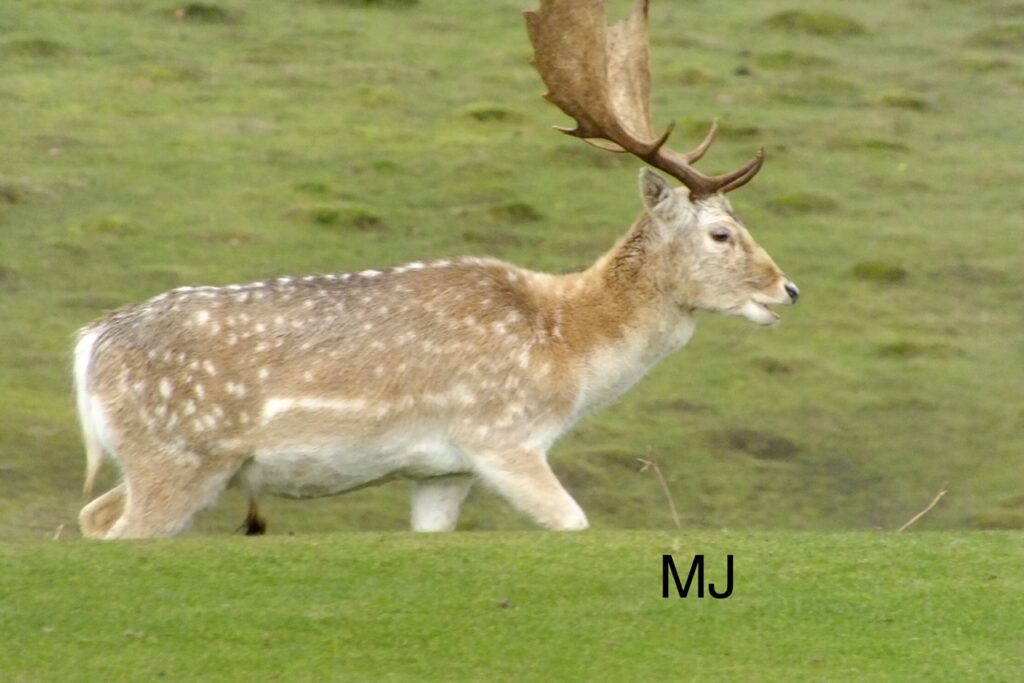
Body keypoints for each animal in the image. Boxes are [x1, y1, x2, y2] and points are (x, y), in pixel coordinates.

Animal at [74, 0, 798, 539]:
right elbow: (574, 522)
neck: (568, 344)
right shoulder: (501, 437)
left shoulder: (441, 471)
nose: (787, 288)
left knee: (92, 514)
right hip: (176, 458)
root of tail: (88, 346)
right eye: (722, 232)